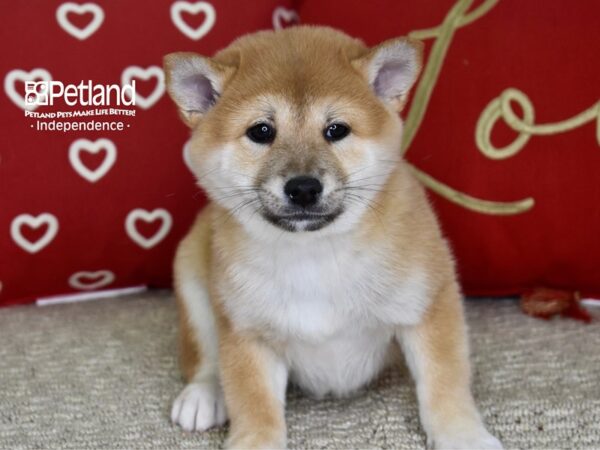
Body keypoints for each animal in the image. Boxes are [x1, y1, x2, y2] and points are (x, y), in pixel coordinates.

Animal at [163, 25, 502, 450]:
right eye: (261, 131)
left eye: (336, 130)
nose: (303, 188)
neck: (314, 253)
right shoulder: (248, 333)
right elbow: (254, 405)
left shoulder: (428, 305)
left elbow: (444, 384)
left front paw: (463, 435)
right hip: (193, 277)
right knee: (203, 355)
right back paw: (204, 393)